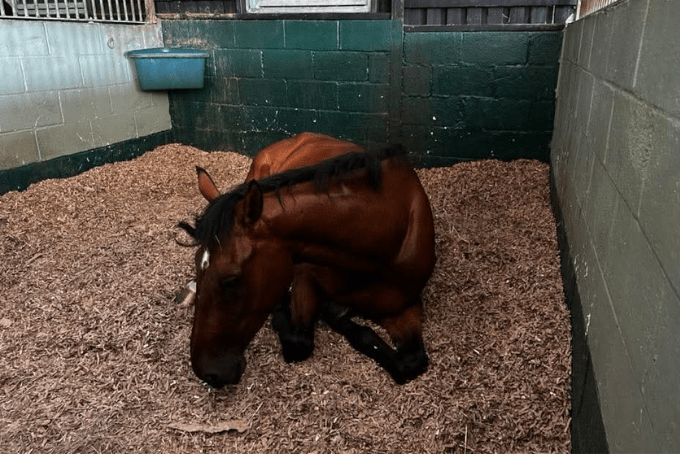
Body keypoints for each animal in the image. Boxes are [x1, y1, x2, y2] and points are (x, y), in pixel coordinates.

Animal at [179, 136, 436, 388]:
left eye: (232, 280)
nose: (207, 373)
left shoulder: (404, 306)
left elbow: (411, 361)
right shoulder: (302, 276)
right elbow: (299, 341)